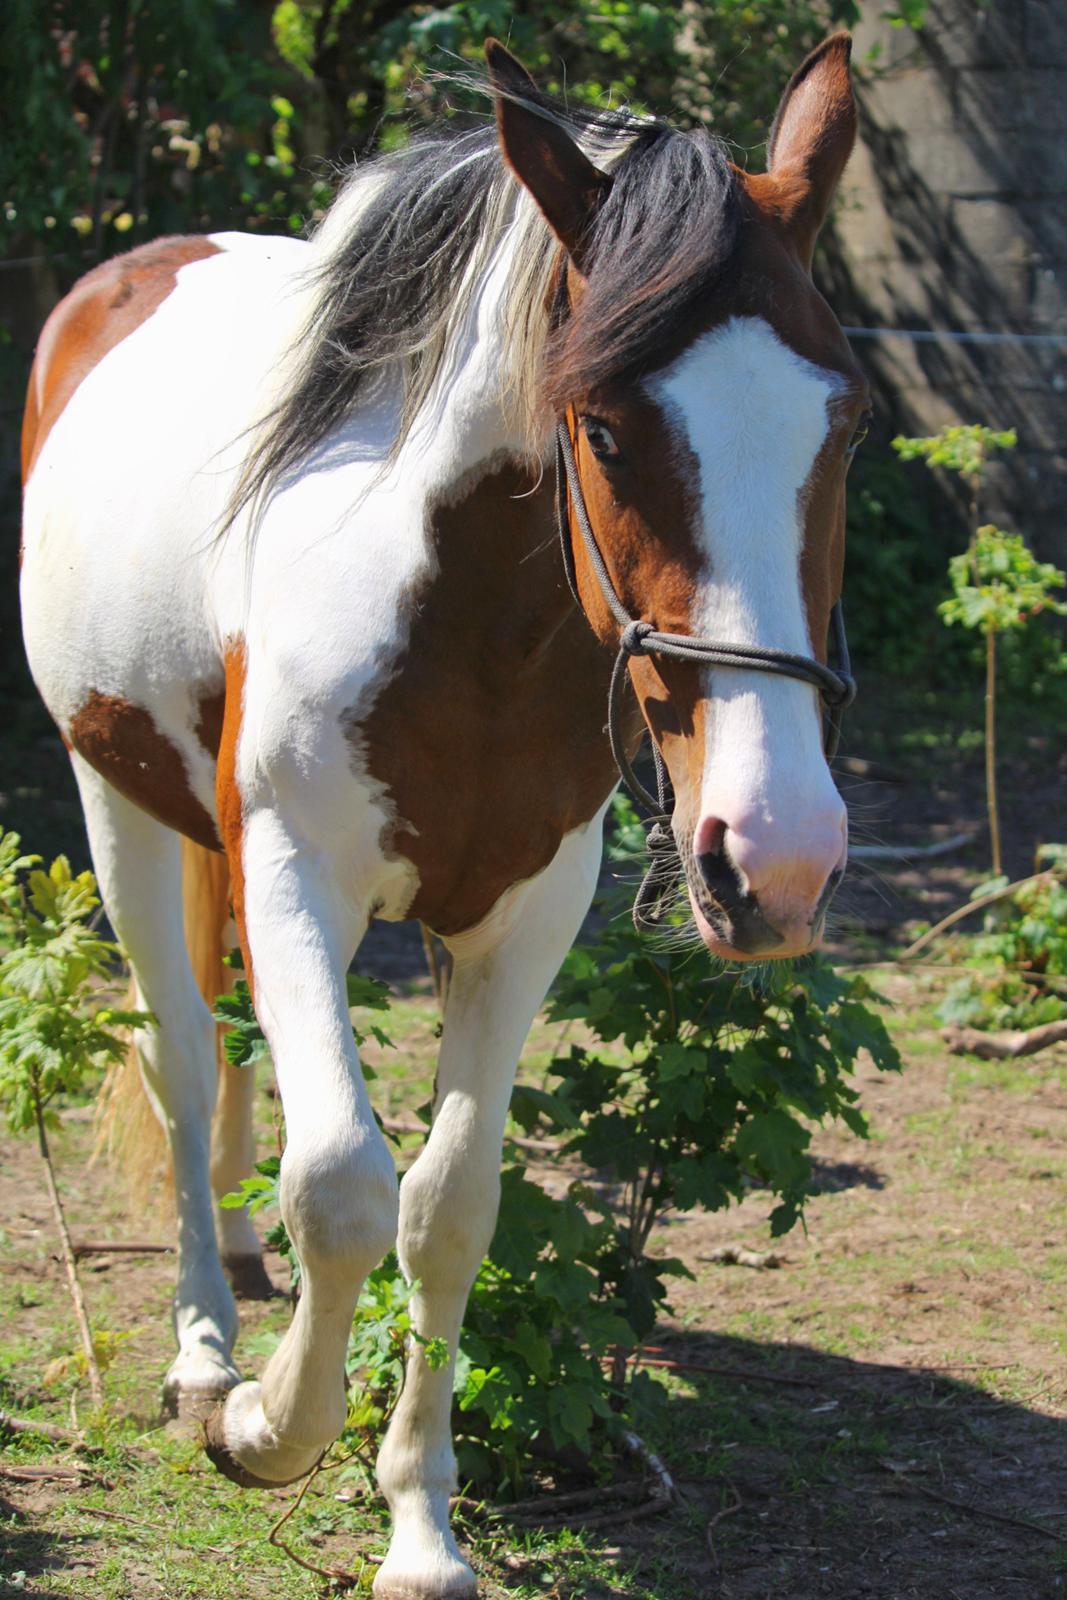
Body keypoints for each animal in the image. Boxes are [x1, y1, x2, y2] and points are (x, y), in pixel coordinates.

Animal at [20, 34, 870, 1600]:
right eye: (604, 427)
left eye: (841, 421)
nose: (774, 858)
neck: (462, 628)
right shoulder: (296, 876)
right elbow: (343, 1184)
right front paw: (264, 1426)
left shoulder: (521, 918)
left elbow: (446, 1205)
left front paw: (418, 1525)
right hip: (118, 803)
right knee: (183, 1063)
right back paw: (201, 1350)